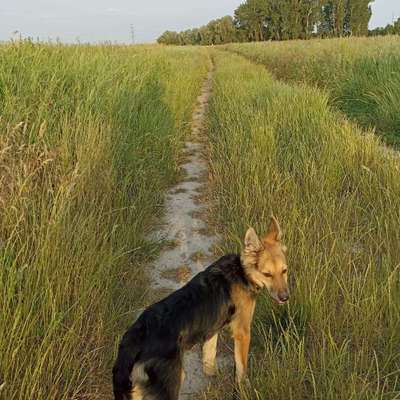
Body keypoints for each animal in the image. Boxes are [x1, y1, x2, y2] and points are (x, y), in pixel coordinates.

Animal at [111, 217, 288, 398]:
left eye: (284, 271)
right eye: (267, 274)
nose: (285, 298)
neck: (242, 272)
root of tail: (134, 338)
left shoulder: (212, 328)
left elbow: (209, 355)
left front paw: (213, 375)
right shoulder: (242, 332)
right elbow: (241, 370)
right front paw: (244, 390)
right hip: (171, 383)